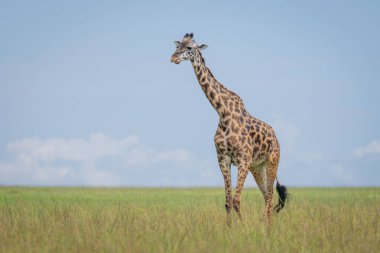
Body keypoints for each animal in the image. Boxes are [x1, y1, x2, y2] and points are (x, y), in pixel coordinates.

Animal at [170, 32, 288, 224]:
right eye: (177, 45)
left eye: (190, 47)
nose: (173, 58)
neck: (223, 112)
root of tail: (275, 136)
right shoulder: (223, 159)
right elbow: (227, 201)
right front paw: (229, 226)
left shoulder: (243, 159)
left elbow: (236, 199)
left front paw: (243, 225)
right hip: (257, 166)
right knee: (266, 195)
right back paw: (265, 224)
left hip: (272, 161)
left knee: (270, 195)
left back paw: (266, 225)